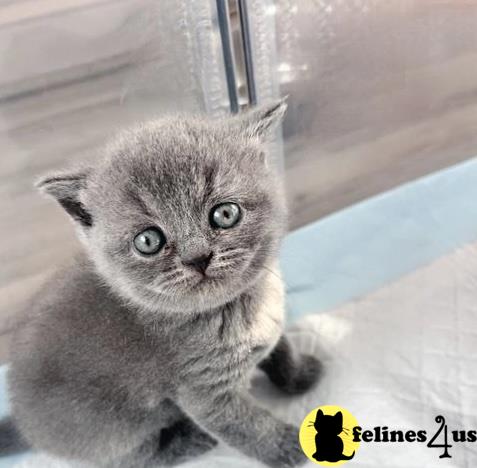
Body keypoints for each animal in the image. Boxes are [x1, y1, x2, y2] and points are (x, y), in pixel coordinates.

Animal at [4, 101, 320, 468]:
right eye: (148, 241)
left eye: (225, 213)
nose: (198, 257)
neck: (242, 309)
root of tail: (22, 421)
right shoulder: (204, 393)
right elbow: (250, 426)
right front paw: (288, 447)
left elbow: (283, 349)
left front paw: (301, 375)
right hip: (115, 432)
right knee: (136, 458)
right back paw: (188, 441)